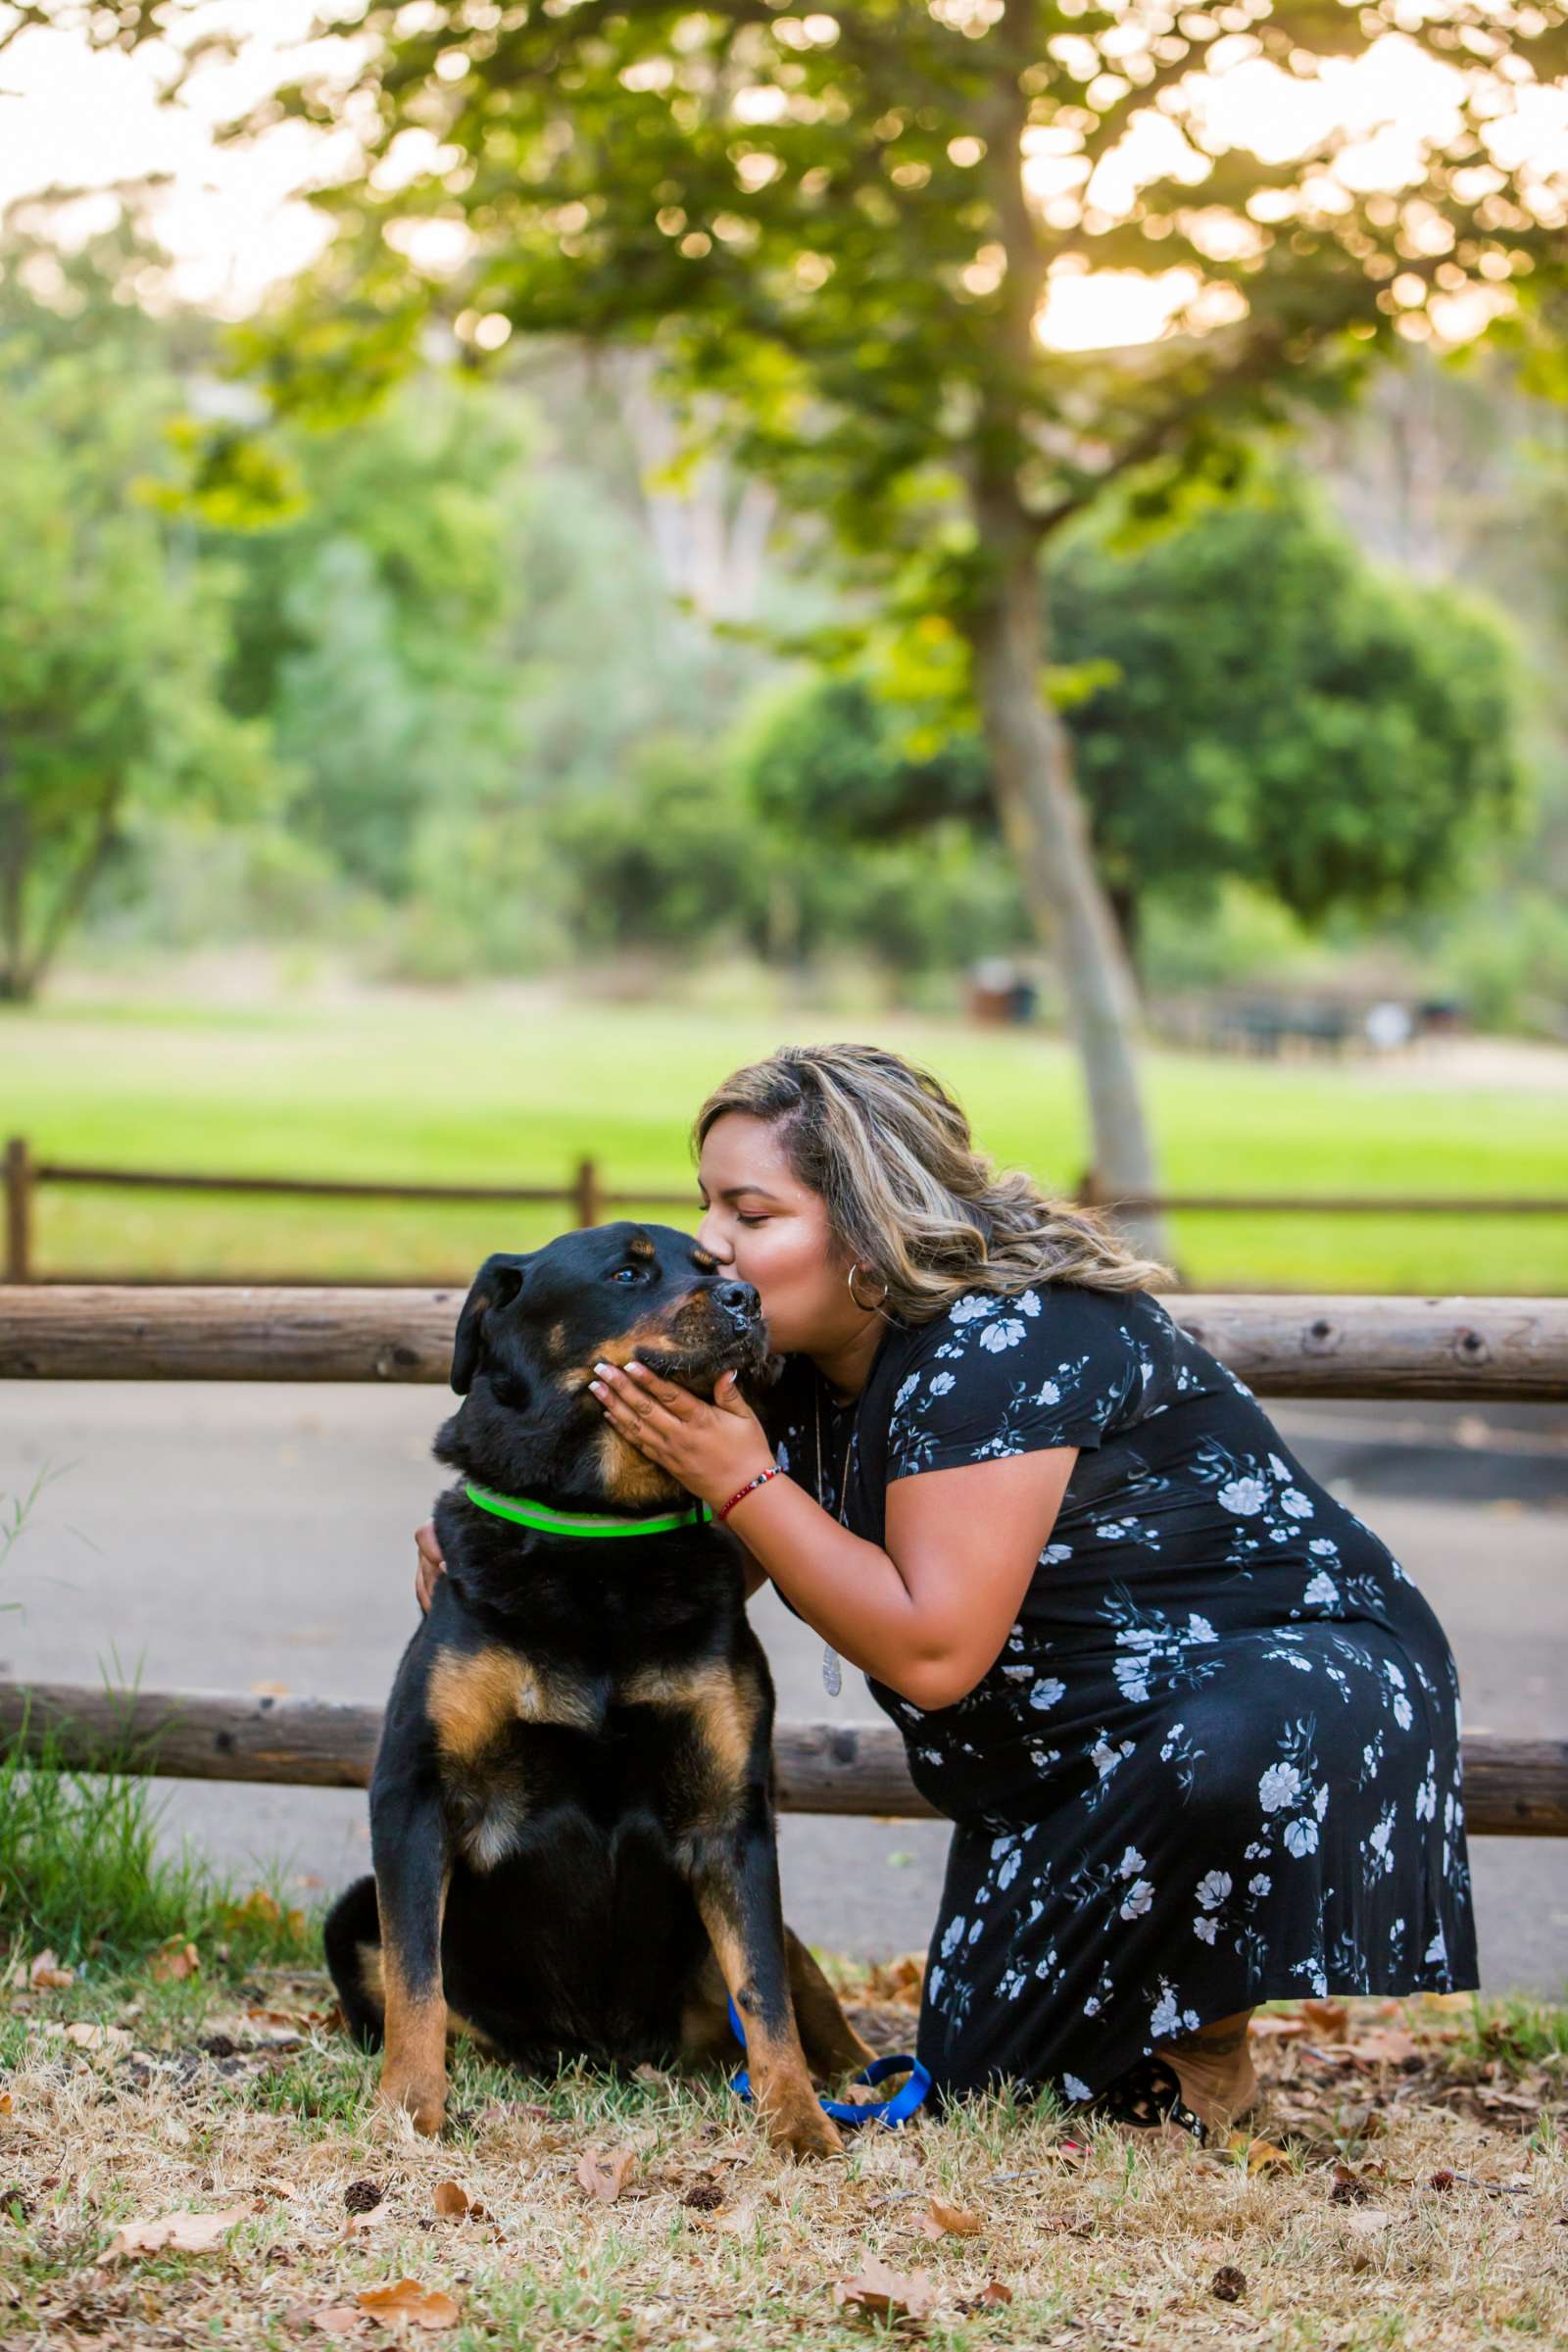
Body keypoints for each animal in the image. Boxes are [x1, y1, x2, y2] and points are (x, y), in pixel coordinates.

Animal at [326, 1223, 879, 2154]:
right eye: (628, 1272)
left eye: (714, 1266)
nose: (748, 1299)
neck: (601, 1534)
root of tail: (609, 2053)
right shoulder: (414, 1793)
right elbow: (415, 1980)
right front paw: (409, 2111)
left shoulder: (732, 1812)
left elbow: (765, 1995)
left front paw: (799, 2127)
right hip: (350, 1915)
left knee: (817, 2018)